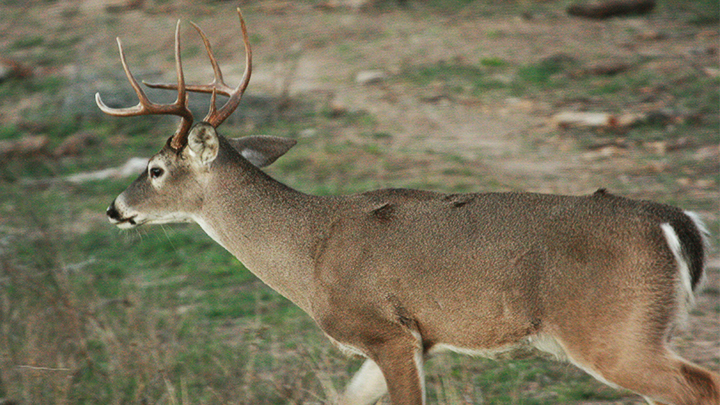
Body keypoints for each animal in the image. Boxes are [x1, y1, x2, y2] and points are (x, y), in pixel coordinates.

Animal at [100, 8, 720, 404]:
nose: (113, 209)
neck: (308, 253)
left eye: (155, 170)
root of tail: (677, 222)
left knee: (696, 388)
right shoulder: (417, 339)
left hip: (612, 329)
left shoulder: (384, 330)